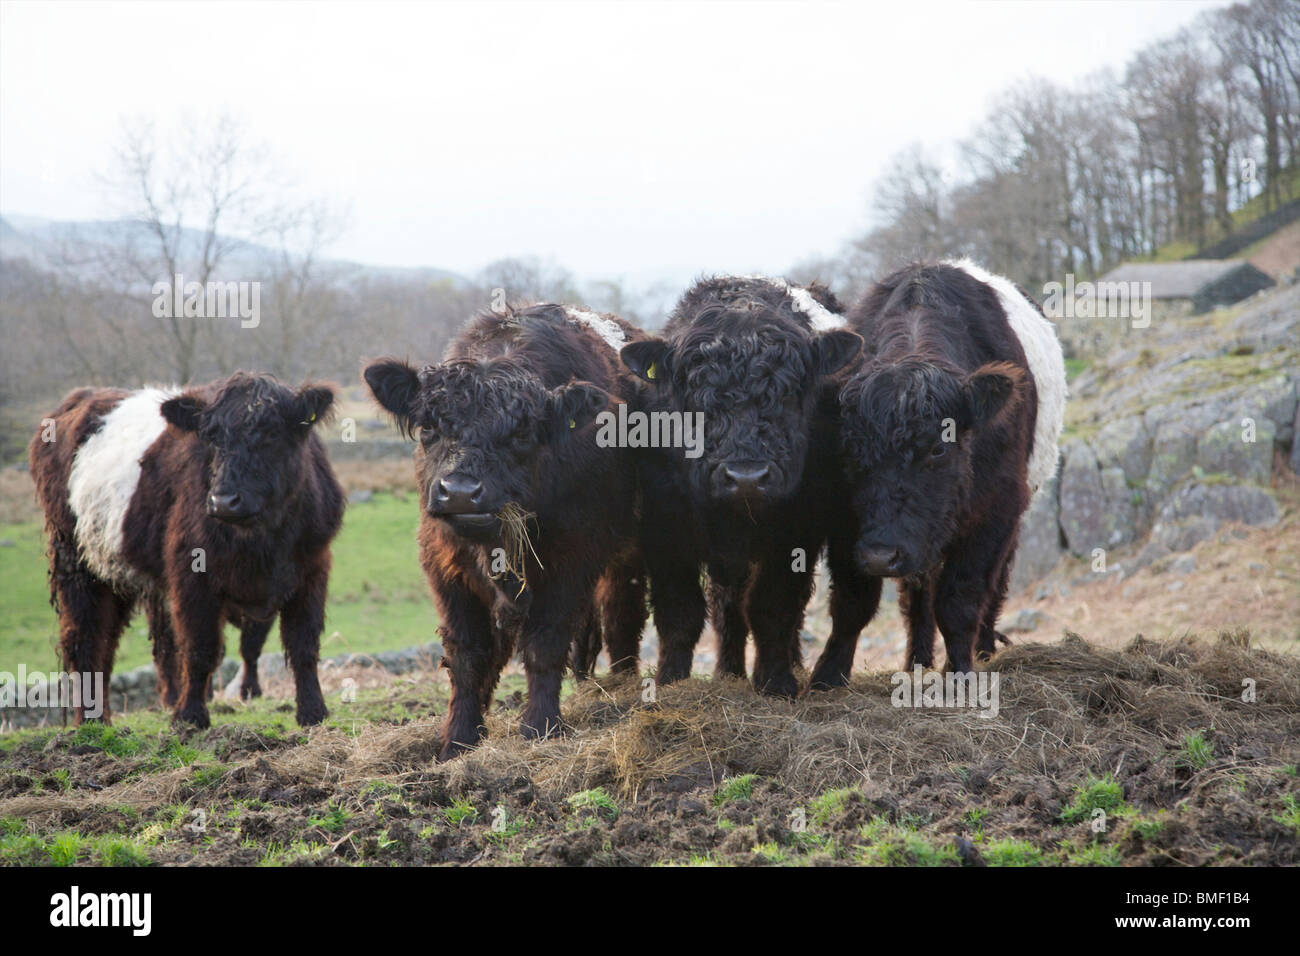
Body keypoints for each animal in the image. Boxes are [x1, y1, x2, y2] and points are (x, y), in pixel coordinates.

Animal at [28, 372, 345, 728]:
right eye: (210, 437)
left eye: (272, 432)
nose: (224, 501)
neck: (259, 539)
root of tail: (82, 397)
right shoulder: (192, 575)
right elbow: (199, 647)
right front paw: (190, 716)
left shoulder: (312, 569)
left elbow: (303, 643)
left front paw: (313, 711)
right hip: (74, 561)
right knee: (84, 639)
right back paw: (91, 724)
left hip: (112, 570)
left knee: (106, 642)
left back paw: (102, 717)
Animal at [363, 303, 647, 761]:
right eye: (429, 427)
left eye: (522, 432)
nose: (461, 492)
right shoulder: (445, 566)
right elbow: (467, 654)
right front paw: (459, 736)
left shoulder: (572, 561)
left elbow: (545, 645)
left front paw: (540, 727)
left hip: (628, 558)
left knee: (622, 620)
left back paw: (620, 687)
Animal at [618, 276, 862, 696]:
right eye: (695, 394)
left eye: (789, 391)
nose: (747, 477)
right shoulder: (665, 529)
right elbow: (679, 612)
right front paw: (670, 681)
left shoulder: (795, 532)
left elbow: (773, 606)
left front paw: (776, 682)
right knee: (726, 608)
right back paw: (727, 672)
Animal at [811, 259, 1066, 683]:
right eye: (849, 449)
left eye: (937, 449)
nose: (881, 556)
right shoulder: (844, 520)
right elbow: (853, 602)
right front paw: (828, 675)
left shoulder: (995, 512)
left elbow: (960, 601)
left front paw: (960, 670)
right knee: (918, 599)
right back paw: (917, 661)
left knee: (992, 588)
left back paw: (982, 650)